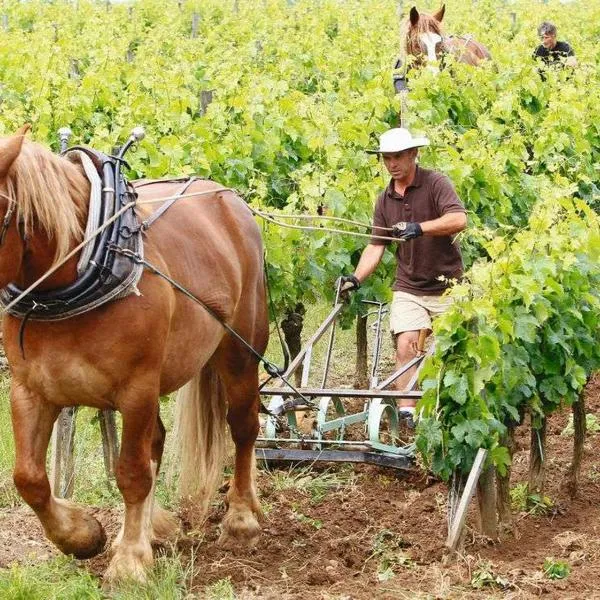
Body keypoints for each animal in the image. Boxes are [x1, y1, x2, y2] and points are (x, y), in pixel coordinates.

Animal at [0, 125, 268, 580]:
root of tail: (227, 197)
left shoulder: (137, 389)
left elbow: (130, 472)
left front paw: (128, 562)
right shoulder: (30, 390)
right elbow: (29, 478)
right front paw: (84, 536)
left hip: (240, 351)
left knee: (243, 427)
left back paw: (241, 519)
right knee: (157, 442)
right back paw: (153, 528)